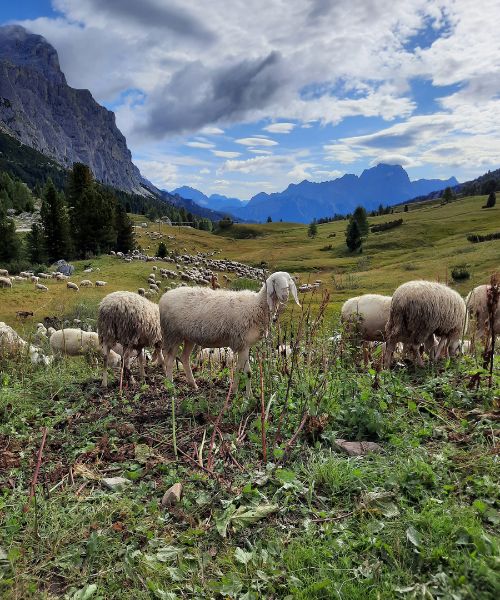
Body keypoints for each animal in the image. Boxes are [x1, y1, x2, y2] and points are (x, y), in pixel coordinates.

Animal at [160, 270, 298, 394]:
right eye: (275, 282)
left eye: (288, 281)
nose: (285, 296)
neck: (257, 305)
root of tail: (165, 296)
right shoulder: (242, 343)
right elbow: (245, 372)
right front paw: (245, 395)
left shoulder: (243, 345)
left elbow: (242, 370)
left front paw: (238, 392)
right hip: (172, 334)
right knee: (169, 361)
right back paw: (170, 387)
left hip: (188, 337)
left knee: (184, 358)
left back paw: (193, 384)